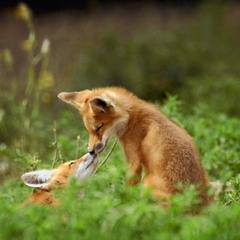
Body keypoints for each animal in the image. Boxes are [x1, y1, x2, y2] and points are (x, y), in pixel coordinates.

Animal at [58, 87, 212, 205]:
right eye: (89, 130)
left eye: (99, 127)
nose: (90, 151)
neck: (132, 117)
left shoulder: (134, 160)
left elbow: (128, 188)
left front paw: (124, 204)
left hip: (148, 185)